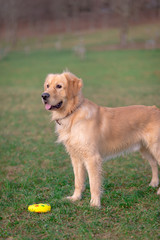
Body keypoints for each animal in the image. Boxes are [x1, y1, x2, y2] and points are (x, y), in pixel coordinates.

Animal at [42, 71, 160, 208]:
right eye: (47, 85)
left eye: (59, 86)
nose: (44, 95)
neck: (73, 114)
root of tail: (156, 108)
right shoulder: (76, 157)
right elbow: (78, 181)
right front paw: (75, 197)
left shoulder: (92, 157)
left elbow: (94, 183)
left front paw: (95, 203)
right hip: (145, 148)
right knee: (153, 163)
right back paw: (154, 183)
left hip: (155, 148)